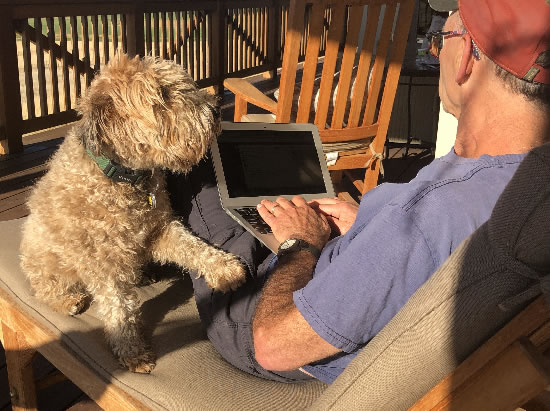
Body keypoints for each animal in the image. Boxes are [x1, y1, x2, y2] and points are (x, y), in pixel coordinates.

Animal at [20, 53, 246, 374]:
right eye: (163, 95)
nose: (215, 110)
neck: (125, 178)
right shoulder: (102, 262)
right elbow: (118, 307)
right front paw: (132, 351)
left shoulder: (161, 228)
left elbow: (194, 247)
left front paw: (225, 268)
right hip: (45, 265)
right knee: (45, 291)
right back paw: (69, 301)